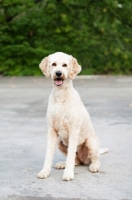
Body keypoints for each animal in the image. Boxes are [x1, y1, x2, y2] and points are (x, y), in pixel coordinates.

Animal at [37, 52, 108, 181]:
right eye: (53, 64)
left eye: (65, 65)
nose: (58, 73)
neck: (61, 96)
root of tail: (83, 159)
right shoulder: (51, 130)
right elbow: (48, 154)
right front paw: (45, 171)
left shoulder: (73, 130)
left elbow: (70, 155)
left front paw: (68, 174)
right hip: (60, 142)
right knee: (76, 161)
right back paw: (63, 164)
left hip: (91, 141)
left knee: (94, 159)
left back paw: (94, 166)